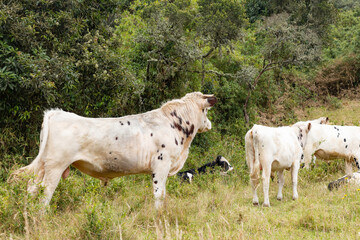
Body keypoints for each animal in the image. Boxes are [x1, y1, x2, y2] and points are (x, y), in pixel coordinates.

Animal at [11, 91, 217, 208]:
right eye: (206, 110)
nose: (209, 124)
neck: (174, 124)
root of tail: (57, 113)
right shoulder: (161, 164)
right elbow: (159, 195)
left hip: (43, 166)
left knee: (32, 189)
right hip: (55, 166)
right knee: (45, 193)